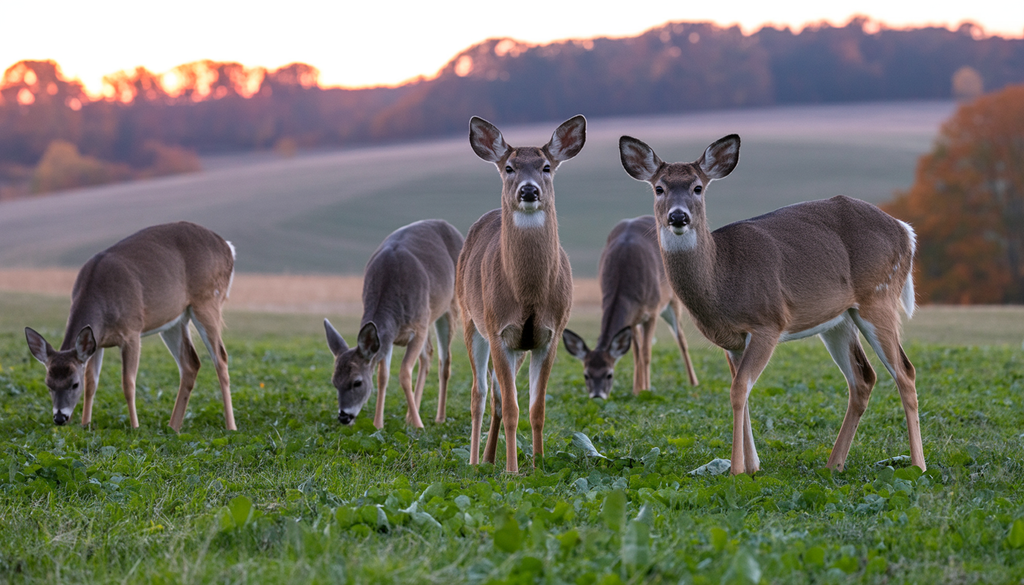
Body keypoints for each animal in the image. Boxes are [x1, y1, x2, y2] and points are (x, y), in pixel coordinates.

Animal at [24, 221, 237, 431]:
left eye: (74, 384)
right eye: (48, 384)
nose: (60, 418)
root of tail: (228, 248)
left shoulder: (132, 332)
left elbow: (128, 383)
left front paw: (135, 427)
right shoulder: (96, 341)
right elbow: (92, 382)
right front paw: (86, 425)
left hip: (208, 299)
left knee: (220, 357)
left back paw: (230, 426)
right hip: (174, 321)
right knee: (191, 364)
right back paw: (172, 427)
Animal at [324, 219, 463, 429]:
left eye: (357, 382)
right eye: (334, 382)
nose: (344, 417)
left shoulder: (419, 326)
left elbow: (404, 372)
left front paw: (419, 425)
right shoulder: (388, 337)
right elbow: (383, 376)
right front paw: (378, 423)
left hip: (450, 308)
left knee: (445, 360)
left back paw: (439, 417)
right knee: (428, 355)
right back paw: (410, 415)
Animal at [458, 115, 585, 473]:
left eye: (546, 167)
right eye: (509, 167)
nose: (529, 190)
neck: (527, 294)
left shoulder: (549, 335)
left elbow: (536, 408)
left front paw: (538, 464)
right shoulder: (498, 329)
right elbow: (514, 407)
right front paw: (513, 470)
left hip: (517, 348)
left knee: (498, 396)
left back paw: (490, 458)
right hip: (469, 319)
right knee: (480, 393)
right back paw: (475, 461)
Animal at [562, 215, 699, 399]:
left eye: (609, 374)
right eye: (586, 375)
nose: (597, 395)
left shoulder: (652, 311)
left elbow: (646, 354)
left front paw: (646, 389)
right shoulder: (632, 318)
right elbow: (636, 354)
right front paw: (637, 390)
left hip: (672, 301)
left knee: (681, 339)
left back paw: (693, 383)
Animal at [618, 134, 925, 475]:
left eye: (698, 187)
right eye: (659, 188)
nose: (678, 217)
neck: (722, 280)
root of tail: (906, 232)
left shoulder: (767, 323)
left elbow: (739, 390)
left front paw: (737, 469)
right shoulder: (732, 341)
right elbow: (740, 388)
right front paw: (752, 465)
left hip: (878, 296)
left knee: (905, 372)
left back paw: (918, 465)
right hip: (839, 319)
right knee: (863, 378)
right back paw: (833, 464)